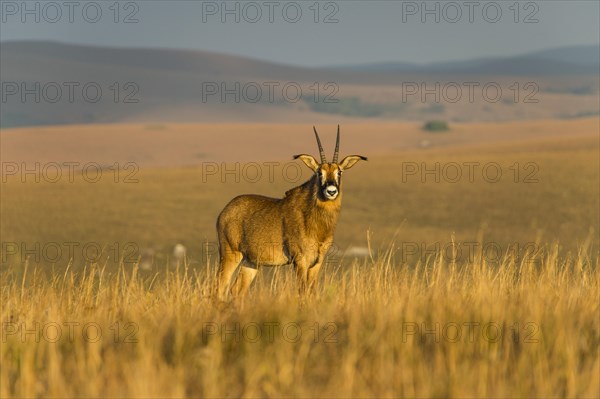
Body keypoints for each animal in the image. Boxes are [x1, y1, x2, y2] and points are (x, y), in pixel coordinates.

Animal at [216, 126, 366, 300]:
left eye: (339, 172)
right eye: (319, 172)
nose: (331, 191)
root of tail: (224, 211)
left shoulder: (317, 262)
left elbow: (311, 292)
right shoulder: (301, 260)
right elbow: (302, 292)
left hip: (251, 262)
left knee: (237, 290)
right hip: (231, 254)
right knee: (219, 288)